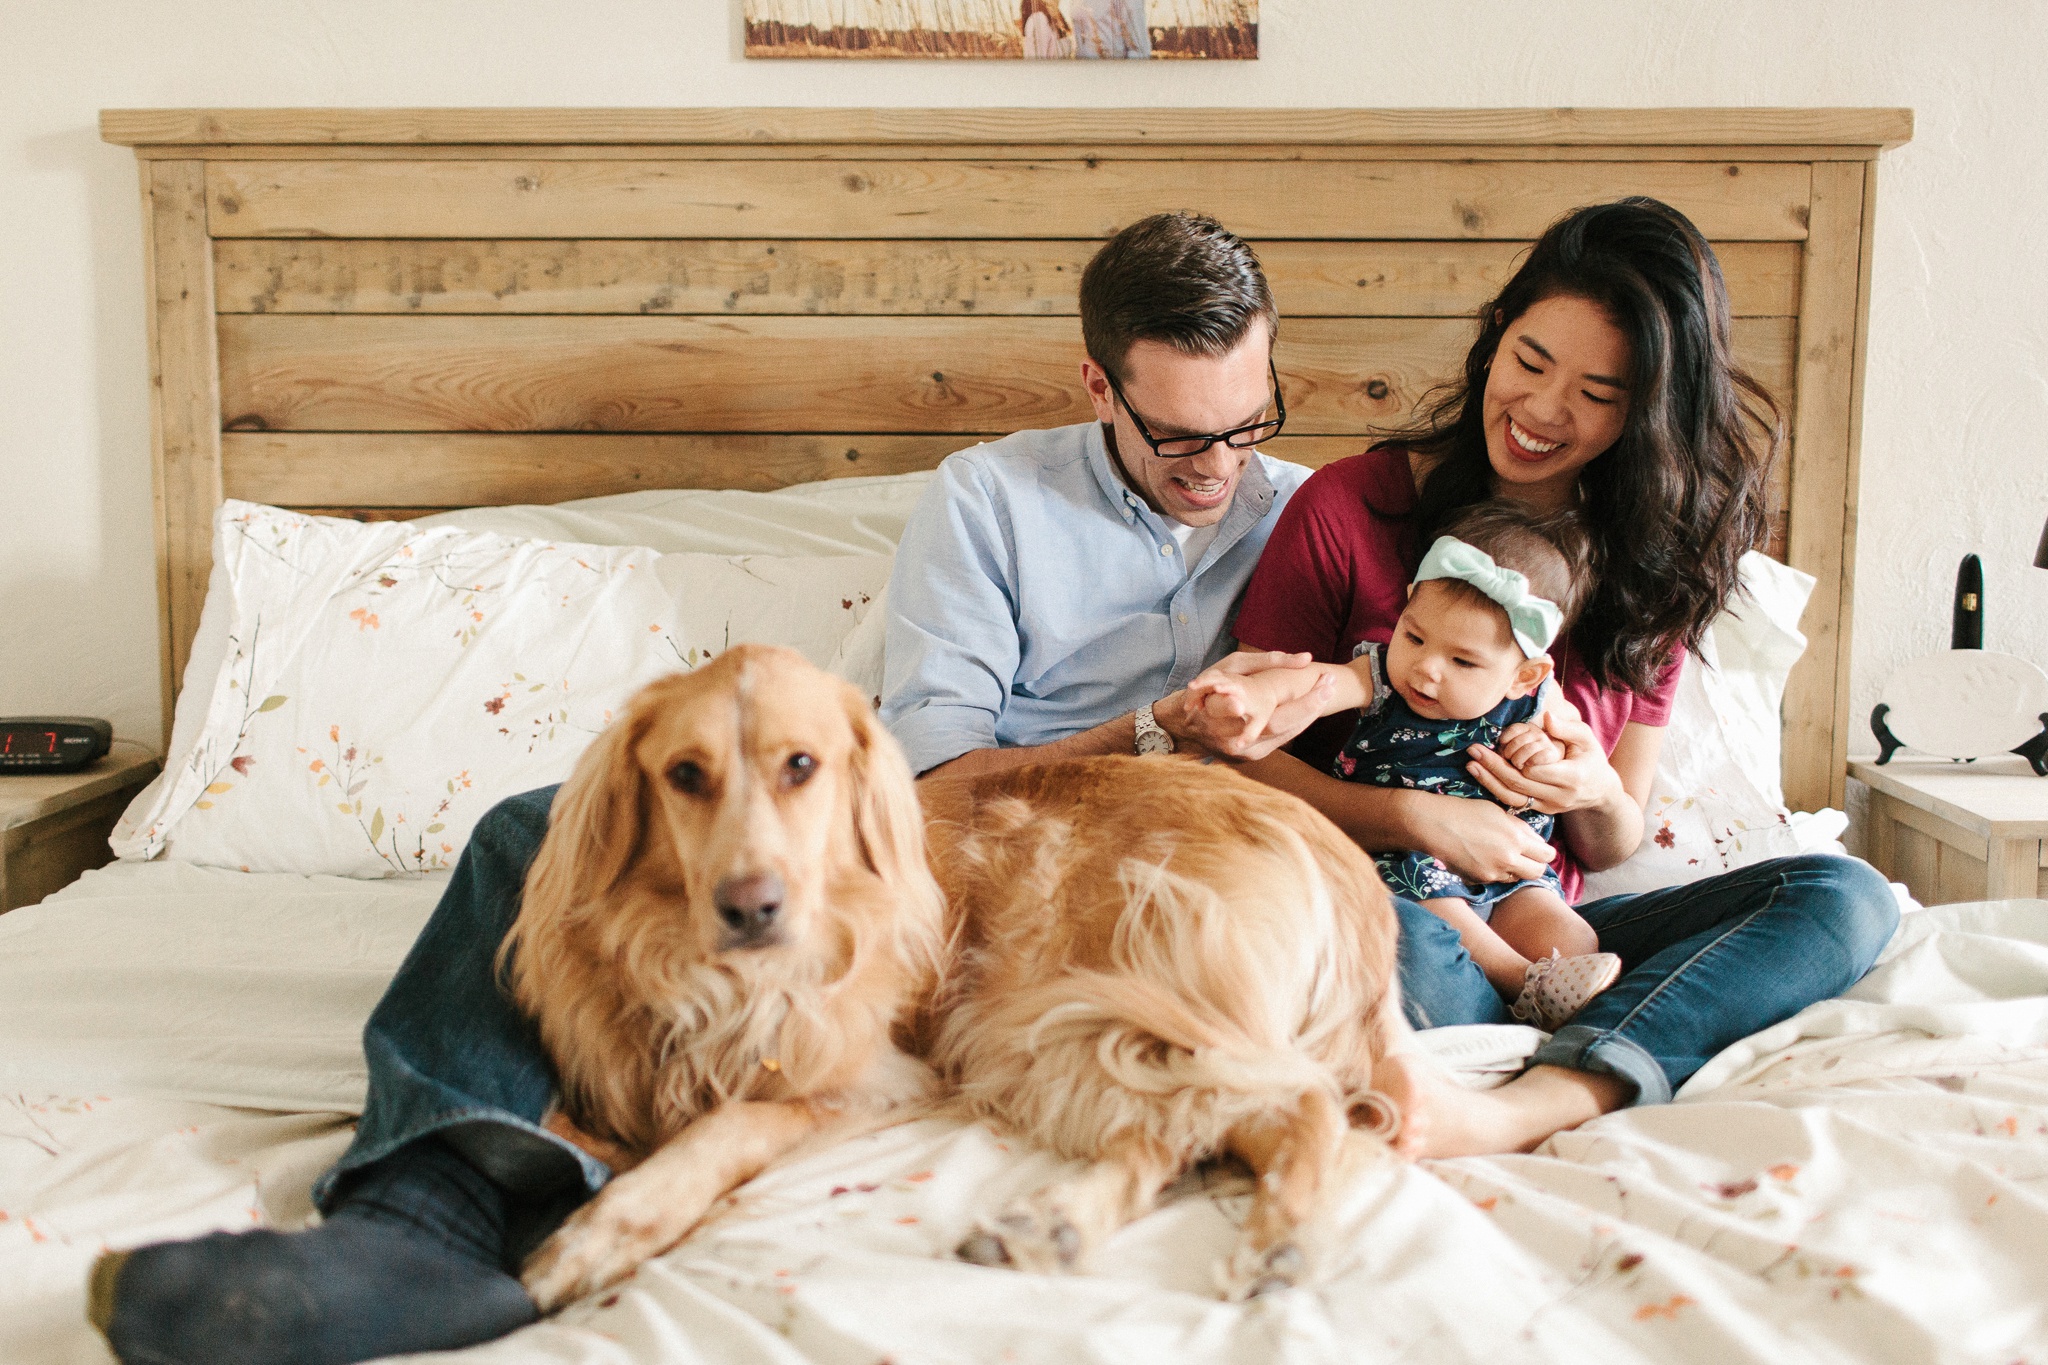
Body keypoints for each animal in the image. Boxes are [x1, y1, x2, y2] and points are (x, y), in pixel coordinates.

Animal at [503, 646, 942, 1309]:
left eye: (801, 765)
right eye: (685, 774)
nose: (750, 908)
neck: (731, 988)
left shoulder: (891, 1085)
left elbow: (738, 1120)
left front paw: (600, 1236)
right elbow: (554, 1126)